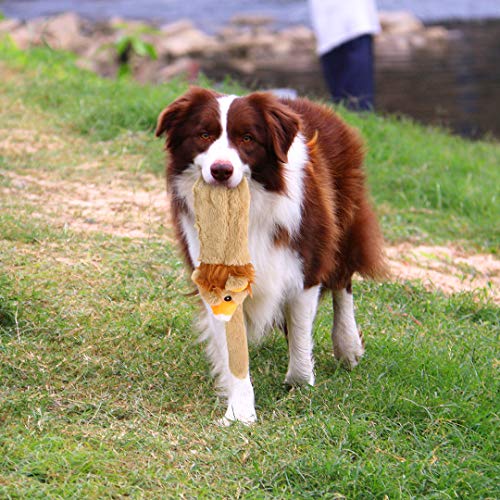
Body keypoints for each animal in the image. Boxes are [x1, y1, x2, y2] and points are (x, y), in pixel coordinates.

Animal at [156, 88, 386, 424]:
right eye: (204, 134)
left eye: (248, 138)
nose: (221, 170)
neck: (248, 208)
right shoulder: (217, 276)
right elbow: (234, 352)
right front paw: (239, 411)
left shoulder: (303, 268)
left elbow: (301, 337)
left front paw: (300, 382)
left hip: (343, 222)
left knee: (342, 281)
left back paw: (347, 346)